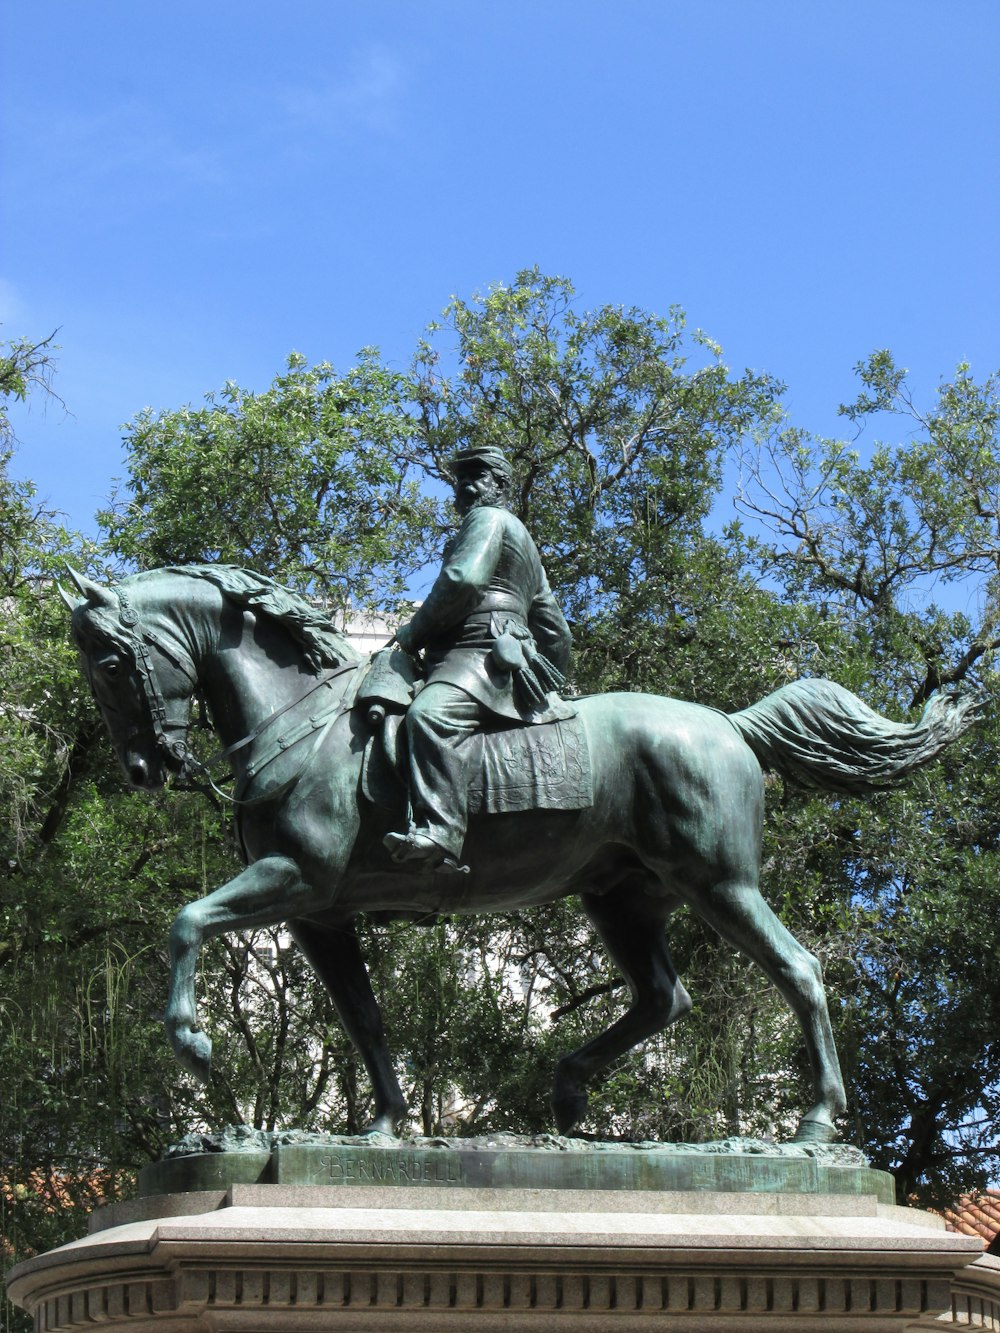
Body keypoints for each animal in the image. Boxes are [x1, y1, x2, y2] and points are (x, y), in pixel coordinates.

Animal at [60, 565, 981, 1146]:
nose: (142, 768)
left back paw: (817, 1121)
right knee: (664, 998)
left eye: (107, 660)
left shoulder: (293, 880)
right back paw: (569, 1089)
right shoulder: (320, 914)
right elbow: (364, 1019)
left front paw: (191, 1040)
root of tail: (729, 722)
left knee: (799, 970)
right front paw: (386, 1123)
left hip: (719, 883)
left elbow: (185, 921)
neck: (306, 721)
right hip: (620, 897)